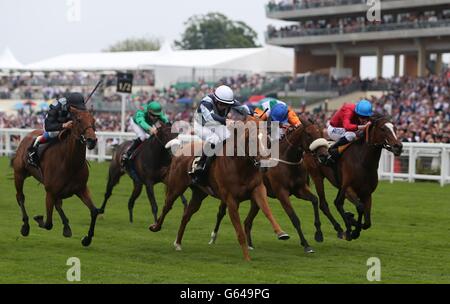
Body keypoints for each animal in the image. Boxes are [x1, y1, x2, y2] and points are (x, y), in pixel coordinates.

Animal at [12, 108, 99, 246]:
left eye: (93, 120)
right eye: (79, 120)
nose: (92, 140)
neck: (70, 163)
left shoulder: (81, 189)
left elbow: (94, 211)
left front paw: (87, 239)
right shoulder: (50, 192)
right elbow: (48, 223)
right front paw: (38, 219)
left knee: (58, 204)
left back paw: (67, 227)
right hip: (19, 174)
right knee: (20, 197)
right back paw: (25, 226)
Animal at [149, 117, 290, 260]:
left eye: (268, 141)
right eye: (251, 141)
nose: (265, 165)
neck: (241, 166)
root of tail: (181, 149)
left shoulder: (258, 189)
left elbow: (267, 211)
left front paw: (281, 233)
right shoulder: (231, 199)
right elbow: (239, 232)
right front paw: (247, 258)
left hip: (199, 194)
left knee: (186, 215)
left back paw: (178, 243)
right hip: (176, 187)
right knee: (167, 206)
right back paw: (155, 227)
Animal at [207, 117, 334, 253]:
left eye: (321, 133)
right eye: (309, 134)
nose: (324, 155)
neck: (287, 160)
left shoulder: (300, 189)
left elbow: (315, 200)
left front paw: (319, 234)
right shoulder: (281, 193)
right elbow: (294, 218)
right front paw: (306, 245)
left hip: (255, 199)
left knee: (247, 221)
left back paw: (250, 245)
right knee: (221, 212)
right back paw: (213, 237)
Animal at [304, 113, 402, 241]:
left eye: (395, 128)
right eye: (383, 129)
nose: (398, 146)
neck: (363, 162)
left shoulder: (366, 193)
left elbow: (367, 222)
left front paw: (352, 224)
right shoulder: (349, 188)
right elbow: (360, 207)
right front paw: (354, 230)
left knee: (337, 202)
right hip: (317, 176)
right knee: (325, 204)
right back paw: (341, 228)